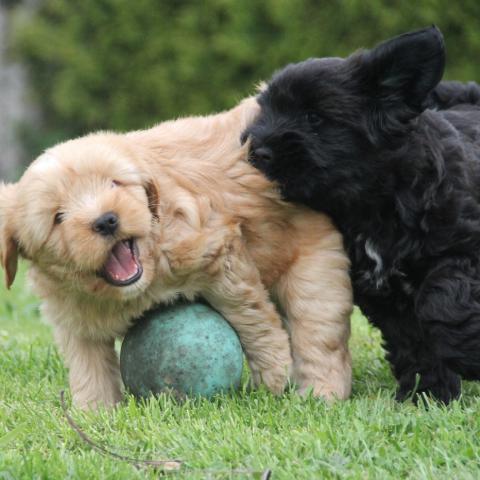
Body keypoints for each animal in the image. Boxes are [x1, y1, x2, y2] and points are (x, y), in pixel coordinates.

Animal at [0, 97, 352, 408]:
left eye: (114, 184)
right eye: (58, 217)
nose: (106, 220)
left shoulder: (219, 253)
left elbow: (251, 314)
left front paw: (274, 371)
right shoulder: (75, 317)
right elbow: (89, 366)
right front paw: (94, 413)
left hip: (315, 270)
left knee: (318, 336)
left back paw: (320, 396)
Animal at [244, 25, 480, 402]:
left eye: (314, 117)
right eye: (266, 111)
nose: (258, 150)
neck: (374, 202)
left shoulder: (462, 249)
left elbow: (443, 299)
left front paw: (468, 352)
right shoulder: (382, 293)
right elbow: (412, 340)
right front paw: (427, 393)